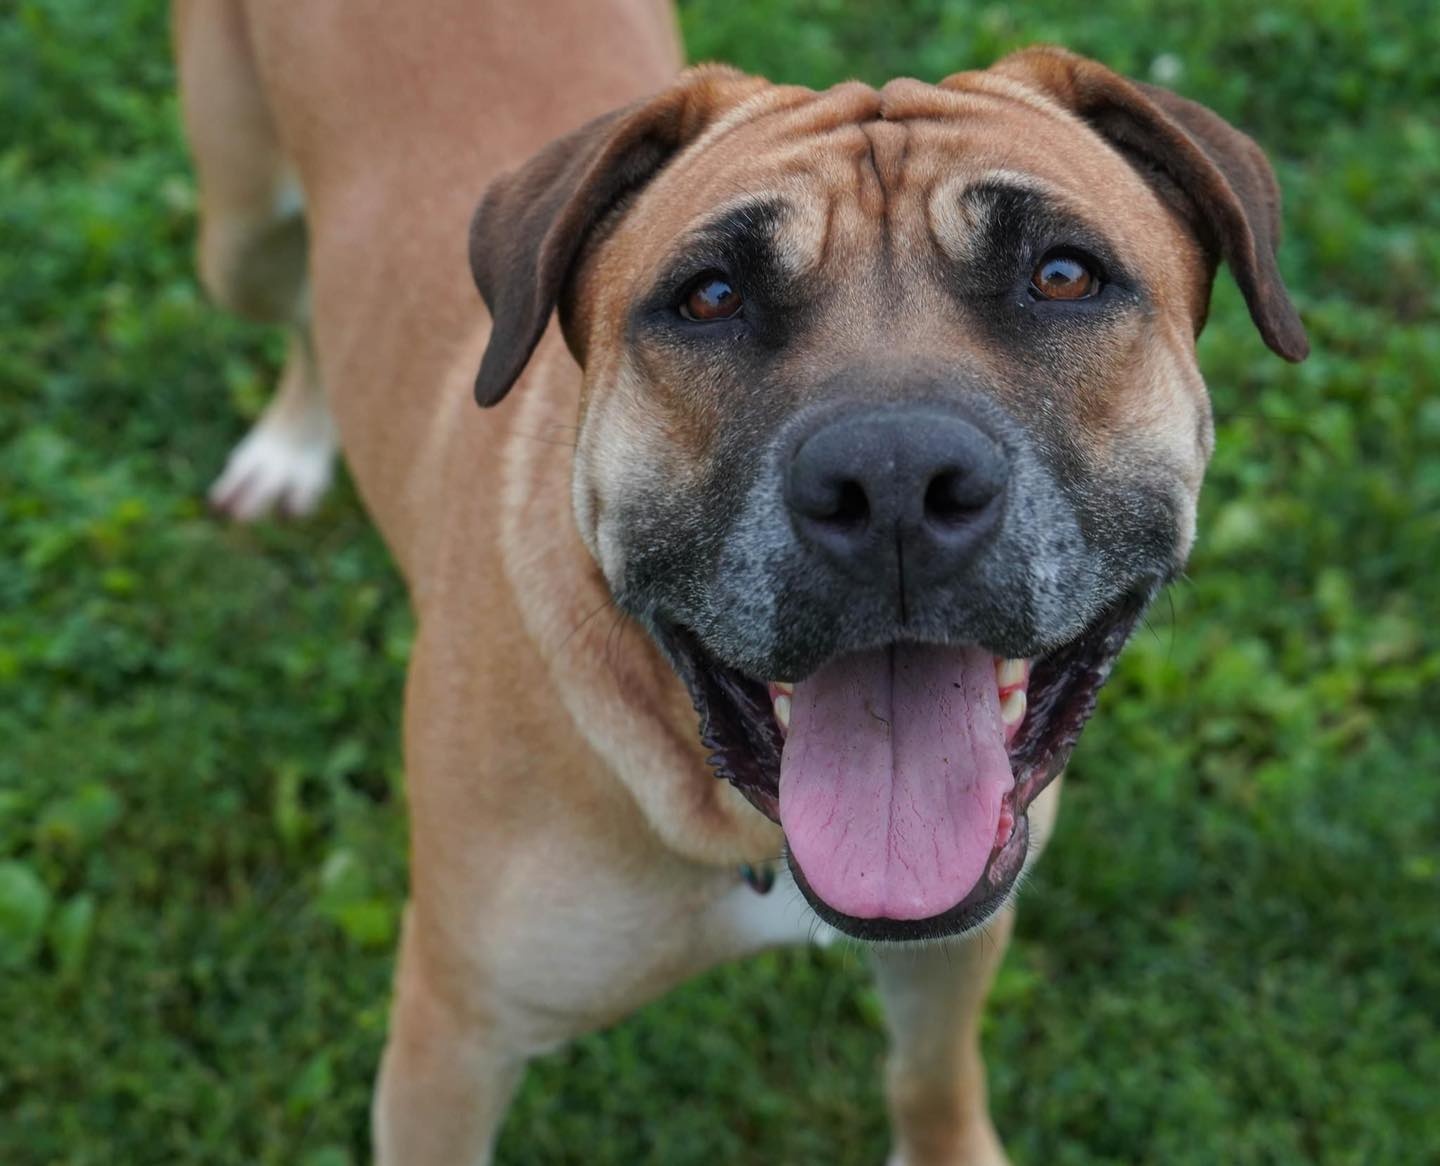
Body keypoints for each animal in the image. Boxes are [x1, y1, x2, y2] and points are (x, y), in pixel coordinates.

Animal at [171, 4, 1307, 1157]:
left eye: (1063, 275)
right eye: (710, 297)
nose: (893, 480)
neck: (736, 813)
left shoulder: (959, 932)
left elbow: (934, 1075)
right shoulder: (448, 1045)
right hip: (240, 233)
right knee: (300, 309)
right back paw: (290, 446)